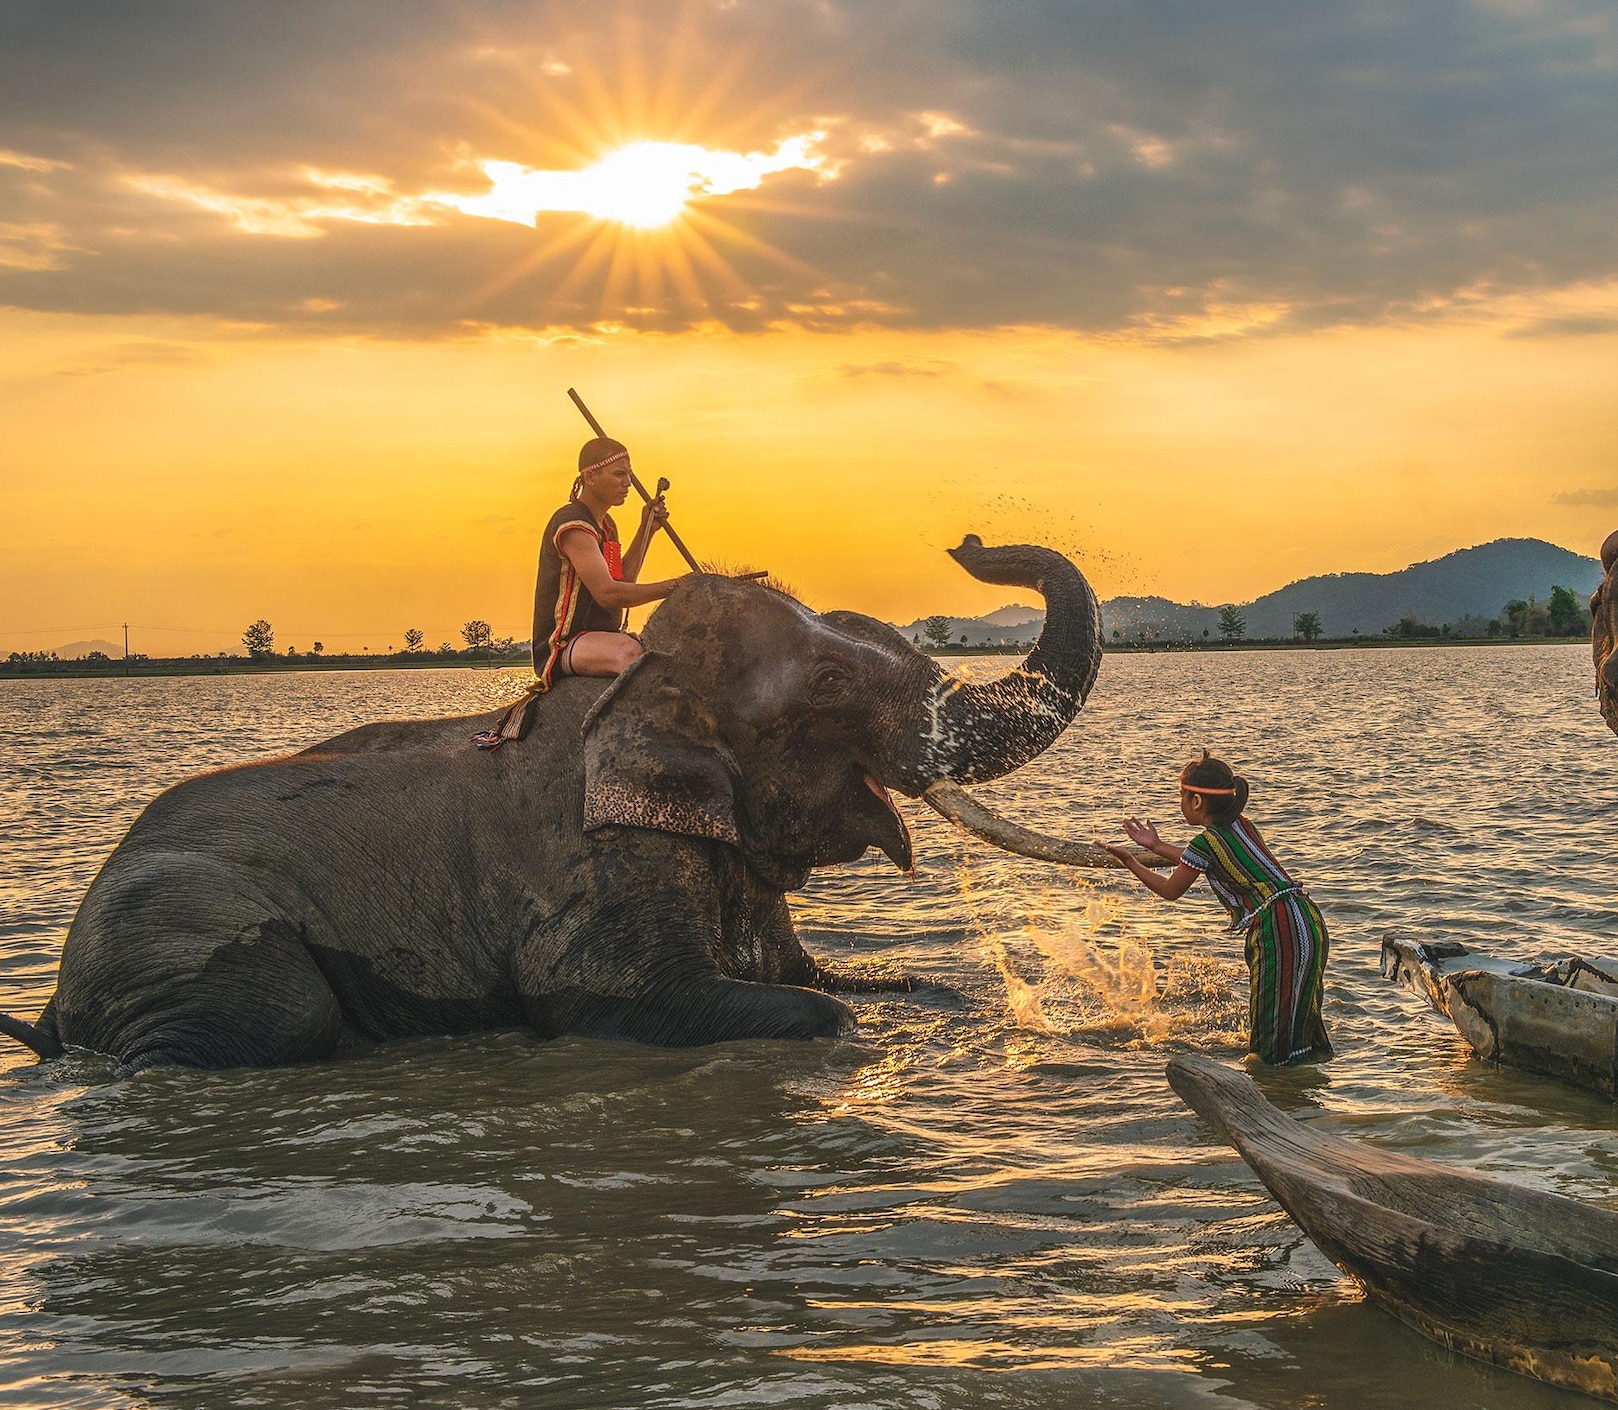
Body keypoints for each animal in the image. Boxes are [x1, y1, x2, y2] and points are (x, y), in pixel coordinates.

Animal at [0, 537, 1100, 1068]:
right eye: (830, 690)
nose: (968, 541)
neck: (641, 686)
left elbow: (850, 981)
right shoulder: (594, 865)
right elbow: (629, 996)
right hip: (178, 935)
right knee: (264, 1025)